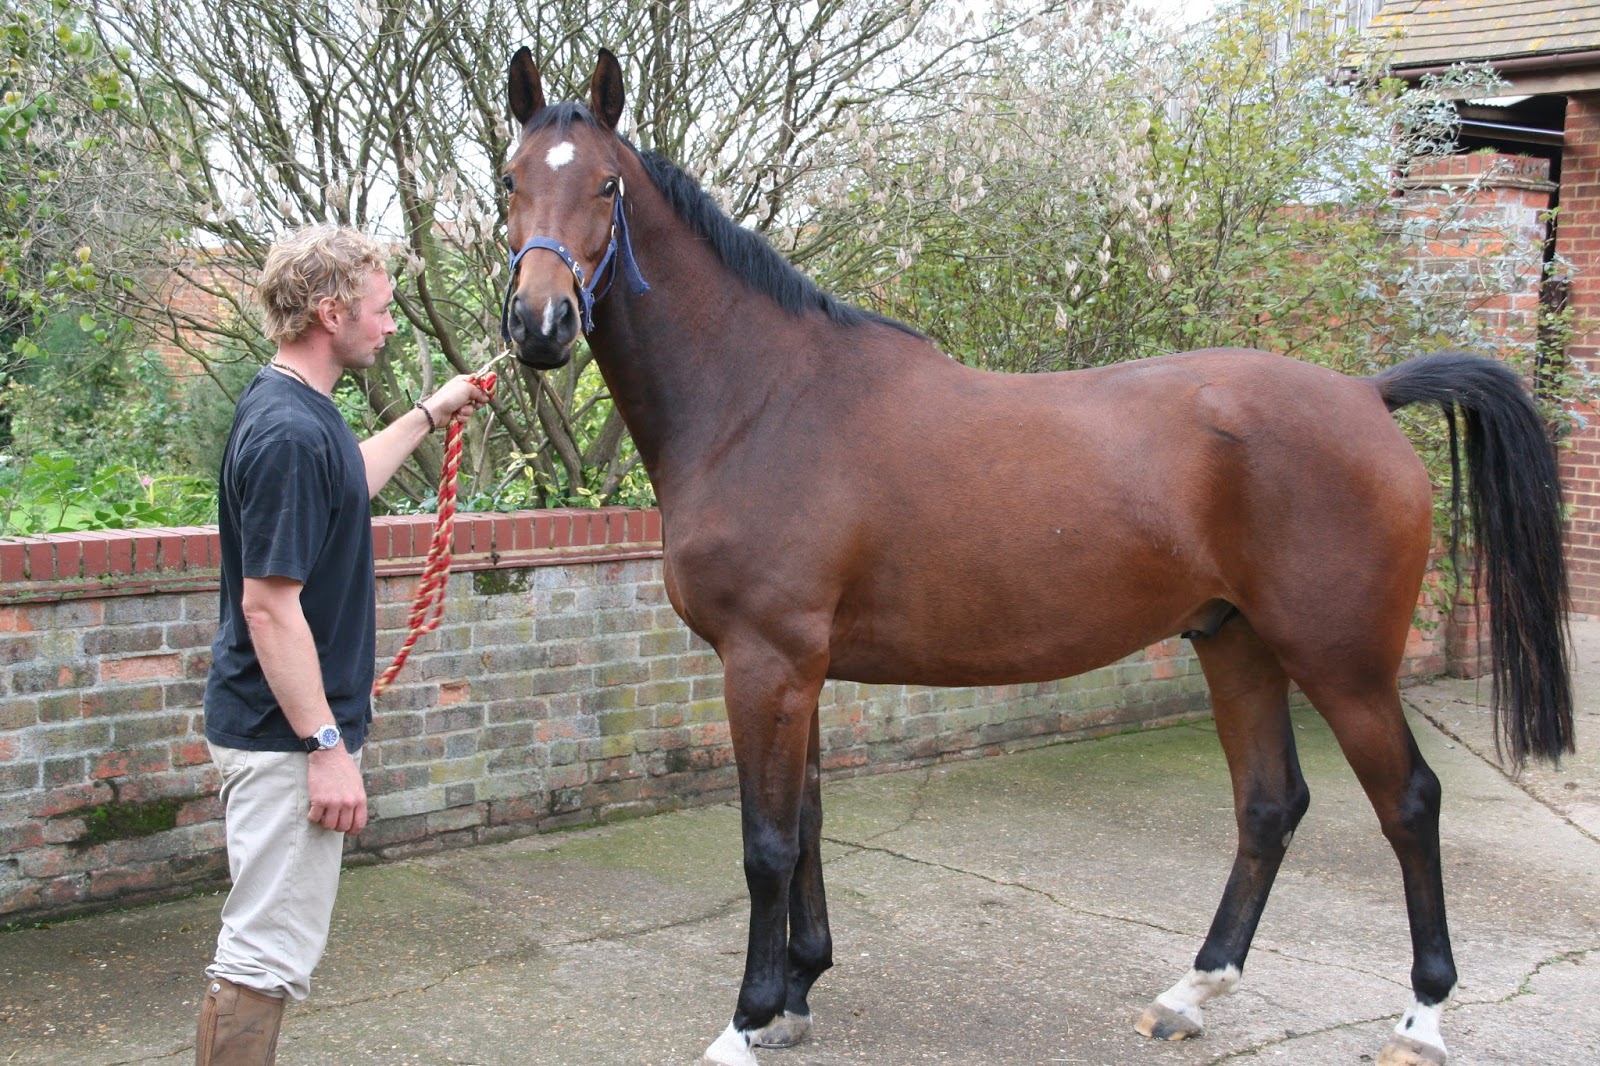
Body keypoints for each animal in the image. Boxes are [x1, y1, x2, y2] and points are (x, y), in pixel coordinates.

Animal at [496, 48, 1574, 1066]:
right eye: (510, 179)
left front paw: (747, 1019)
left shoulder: (765, 661)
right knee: (1270, 804)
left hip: (1341, 662)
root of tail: (1365, 395)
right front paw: (797, 995)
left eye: (607, 187)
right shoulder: (796, 669)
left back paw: (1421, 1017)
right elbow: (804, 825)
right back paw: (1191, 992)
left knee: (1409, 804)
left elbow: (766, 842)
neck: (761, 400)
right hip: (1237, 643)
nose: (538, 325)